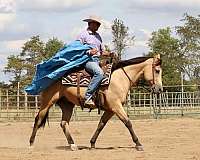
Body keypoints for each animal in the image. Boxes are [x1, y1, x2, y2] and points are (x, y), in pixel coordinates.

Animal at [28, 53, 162, 151]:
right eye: (157, 70)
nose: (159, 89)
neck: (119, 78)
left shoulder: (110, 110)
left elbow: (101, 125)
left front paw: (92, 144)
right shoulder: (116, 106)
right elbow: (128, 122)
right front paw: (138, 144)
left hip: (67, 105)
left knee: (64, 123)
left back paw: (73, 145)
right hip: (47, 101)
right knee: (38, 119)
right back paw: (31, 144)